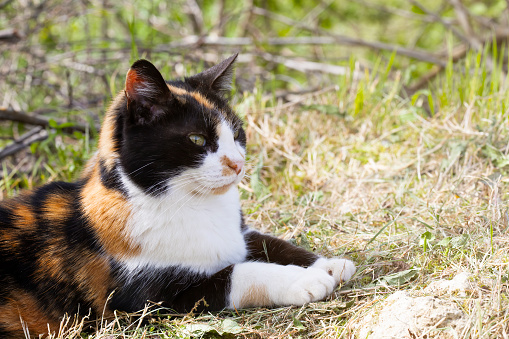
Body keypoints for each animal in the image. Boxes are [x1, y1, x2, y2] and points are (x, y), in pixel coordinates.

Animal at [0, 54, 356, 338]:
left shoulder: (239, 235)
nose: (238, 163)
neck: (193, 205)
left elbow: (270, 242)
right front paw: (304, 281)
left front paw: (329, 265)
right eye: (197, 139)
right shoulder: (141, 303)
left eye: (236, 133)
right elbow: (238, 273)